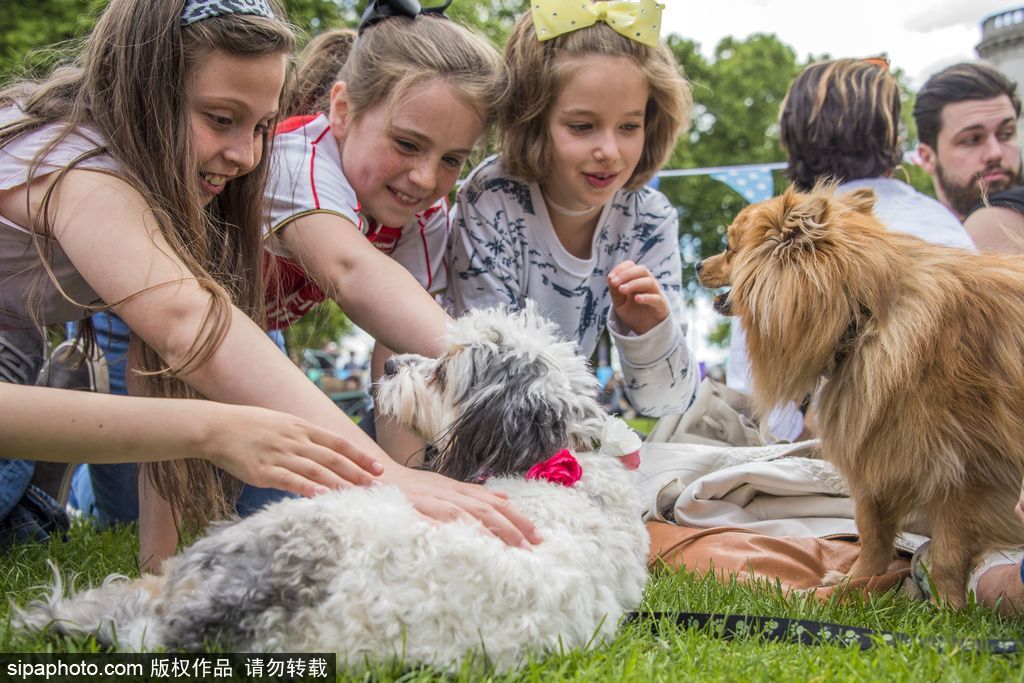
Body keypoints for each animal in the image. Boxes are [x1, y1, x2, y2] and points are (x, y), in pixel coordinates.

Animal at [700, 183, 1024, 610]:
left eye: (729, 248)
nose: (698, 264)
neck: (862, 319)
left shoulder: (961, 470)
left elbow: (949, 551)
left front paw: (945, 607)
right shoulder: (876, 444)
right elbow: (872, 530)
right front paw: (855, 580)